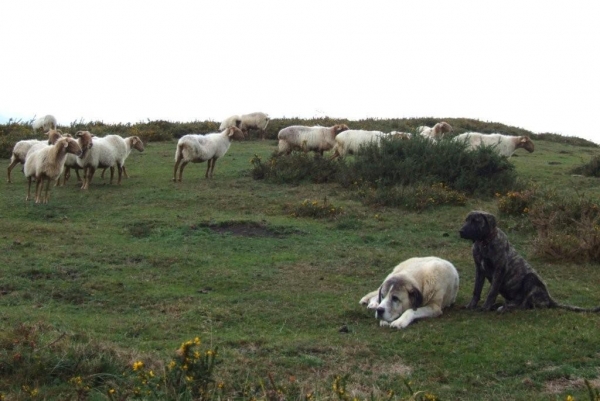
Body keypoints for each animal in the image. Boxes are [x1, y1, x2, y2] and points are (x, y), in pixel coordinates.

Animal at [460, 209, 600, 312]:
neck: (484, 243)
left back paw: (505, 308)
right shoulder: (479, 270)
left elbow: (492, 291)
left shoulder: (499, 270)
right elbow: (476, 290)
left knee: (525, 304)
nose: (460, 231)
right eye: (466, 220)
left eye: (476, 221)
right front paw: (471, 305)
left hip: (530, 278)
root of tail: (549, 298)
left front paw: (485, 307)